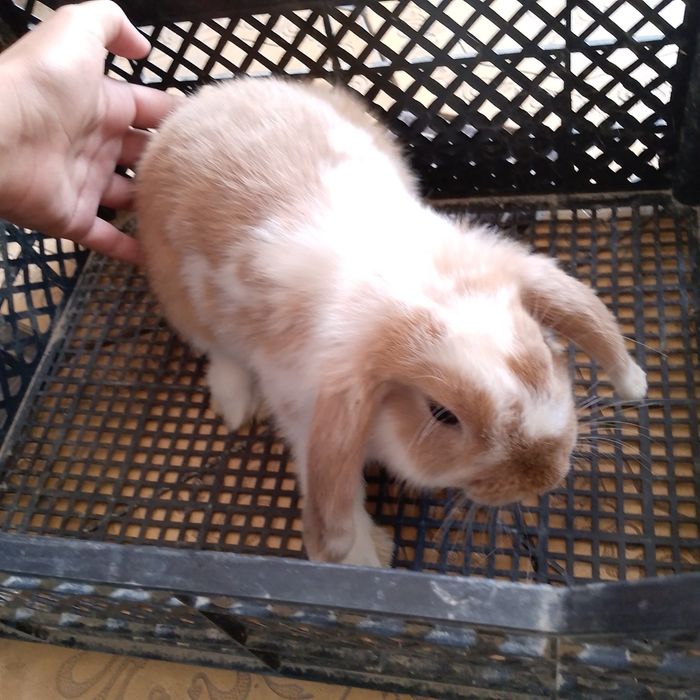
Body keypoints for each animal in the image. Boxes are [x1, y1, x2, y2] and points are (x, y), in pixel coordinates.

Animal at [136, 77, 647, 567]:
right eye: (442, 414)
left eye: (543, 350)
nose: (544, 476)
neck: (401, 289)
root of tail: (197, 103)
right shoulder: (305, 411)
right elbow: (334, 484)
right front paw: (362, 556)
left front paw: (634, 384)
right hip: (178, 295)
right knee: (217, 350)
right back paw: (238, 404)